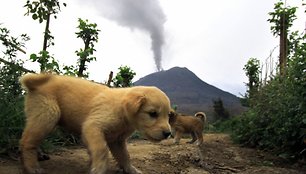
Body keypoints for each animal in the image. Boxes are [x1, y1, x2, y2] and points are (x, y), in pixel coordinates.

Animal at [19, 73, 172, 174]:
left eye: (168, 115)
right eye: (153, 114)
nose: (168, 133)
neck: (122, 110)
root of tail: (35, 83)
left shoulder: (117, 141)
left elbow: (125, 156)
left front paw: (131, 170)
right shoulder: (92, 126)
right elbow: (101, 149)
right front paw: (98, 168)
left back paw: (39, 156)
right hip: (48, 114)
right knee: (27, 142)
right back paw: (32, 167)